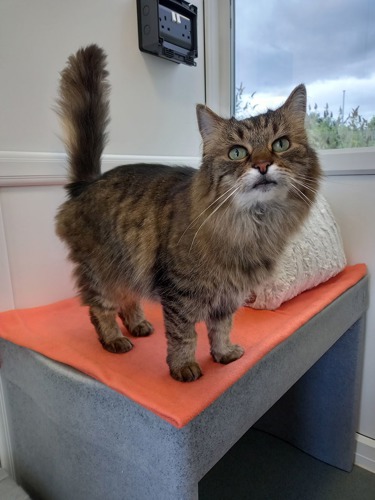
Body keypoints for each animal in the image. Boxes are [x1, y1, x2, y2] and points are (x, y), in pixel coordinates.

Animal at [57, 46, 322, 382]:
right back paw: (114, 339)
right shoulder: (178, 293)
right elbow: (184, 335)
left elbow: (221, 329)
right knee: (100, 308)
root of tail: (88, 183)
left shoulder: (228, 296)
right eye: (237, 152)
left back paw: (138, 325)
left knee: (128, 299)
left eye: (281, 144)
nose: (262, 165)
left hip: (127, 267)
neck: (253, 225)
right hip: (102, 272)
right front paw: (183, 366)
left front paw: (223, 354)